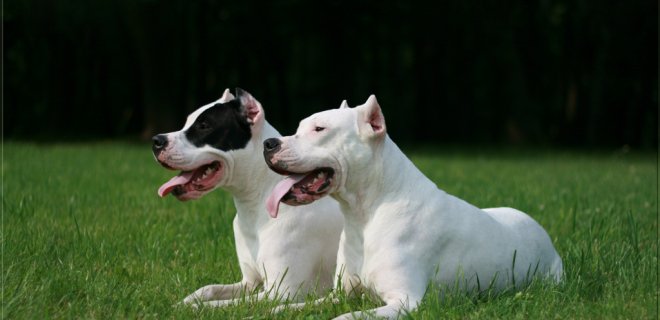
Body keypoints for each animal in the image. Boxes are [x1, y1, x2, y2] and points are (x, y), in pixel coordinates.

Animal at [151, 88, 342, 308]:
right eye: (187, 122)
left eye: (204, 125)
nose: (156, 141)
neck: (254, 206)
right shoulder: (248, 283)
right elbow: (207, 289)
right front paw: (181, 304)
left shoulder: (281, 293)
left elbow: (222, 305)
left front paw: (194, 308)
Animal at [262, 96, 564, 318]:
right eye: (299, 128)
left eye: (319, 129)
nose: (268, 143)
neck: (364, 215)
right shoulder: (340, 294)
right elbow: (291, 306)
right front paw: (268, 310)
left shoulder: (405, 301)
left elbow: (345, 317)